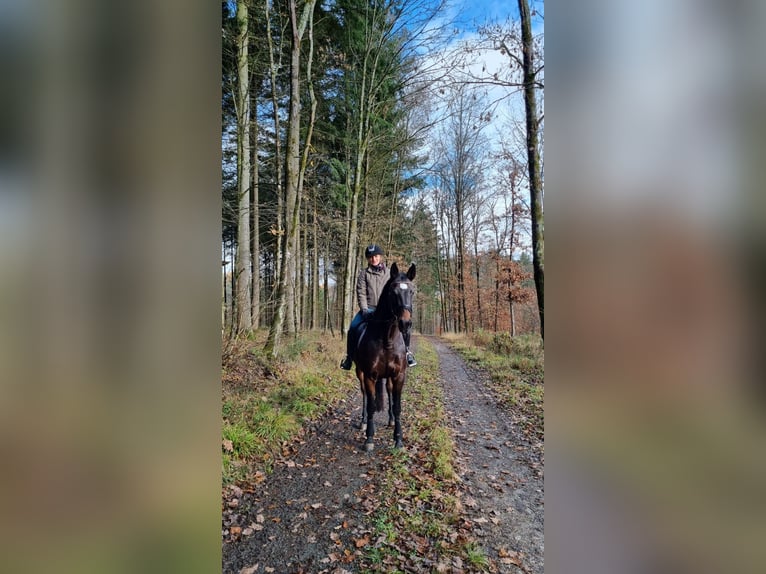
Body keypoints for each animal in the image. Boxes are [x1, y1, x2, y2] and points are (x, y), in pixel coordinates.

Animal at [352, 262, 416, 451]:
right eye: (393, 292)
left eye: (412, 291)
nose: (405, 323)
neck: (387, 338)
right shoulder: (370, 376)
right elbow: (372, 405)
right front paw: (369, 438)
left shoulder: (399, 375)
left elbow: (397, 406)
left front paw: (398, 439)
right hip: (360, 373)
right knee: (365, 396)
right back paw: (364, 421)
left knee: (388, 391)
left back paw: (390, 420)